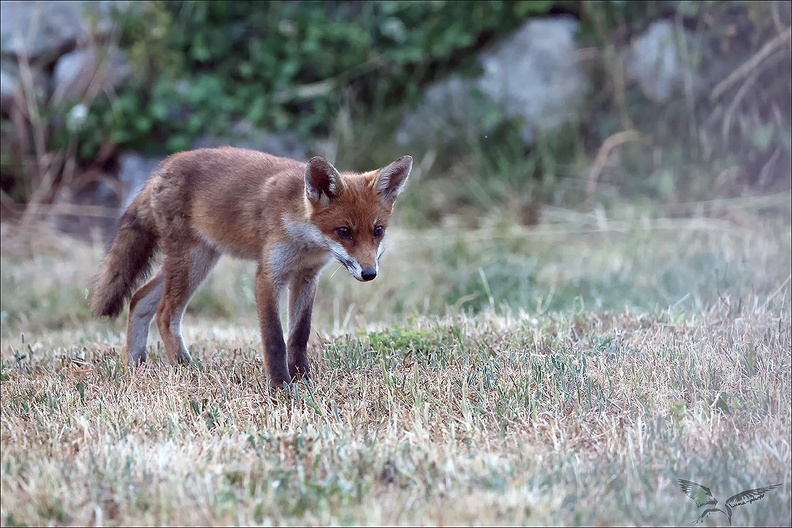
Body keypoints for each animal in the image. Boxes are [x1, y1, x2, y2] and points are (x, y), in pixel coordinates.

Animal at [91, 146, 414, 386]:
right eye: (344, 231)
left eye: (378, 231)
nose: (369, 273)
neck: (304, 242)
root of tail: (162, 167)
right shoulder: (269, 275)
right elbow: (274, 339)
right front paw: (281, 387)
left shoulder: (307, 276)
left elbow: (299, 335)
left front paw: (303, 378)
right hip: (191, 262)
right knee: (165, 314)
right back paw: (185, 370)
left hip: (199, 260)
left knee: (139, 298)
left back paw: (135, 365)